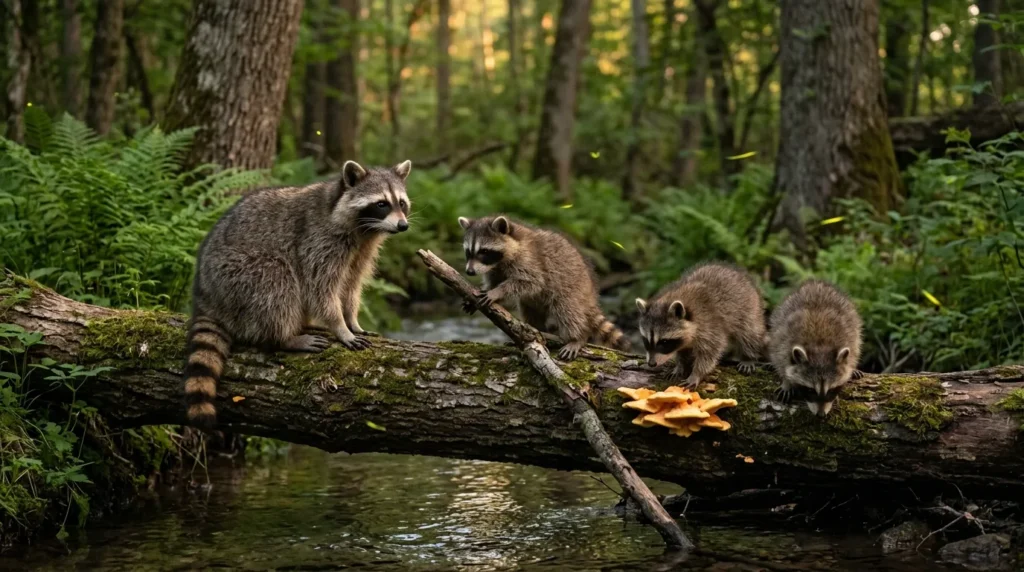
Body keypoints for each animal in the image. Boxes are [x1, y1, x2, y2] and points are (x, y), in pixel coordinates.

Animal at [184, 160, 412, 429]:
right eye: (381, 204)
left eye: (401, 203)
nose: (403, 225)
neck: (364, 228)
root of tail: (205, 294)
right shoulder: (318, 241)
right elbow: (320, 289)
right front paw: (340, 326)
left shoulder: (362, 250)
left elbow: (351, 287)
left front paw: (352, 320)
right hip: (235, 276)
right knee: (276, 280)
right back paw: (284, 337)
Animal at [458, 215, 630, 360]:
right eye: (468, 252)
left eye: (484, 251)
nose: (470, 271)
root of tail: (590, 294)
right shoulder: (495, 269)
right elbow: (494, 282)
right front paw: (485, 292)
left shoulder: (529, 260)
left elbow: (532, 282)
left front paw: (496, 292)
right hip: (536, 303)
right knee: (530, 311)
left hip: (571, 290)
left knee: (568, 310)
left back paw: (578, 337)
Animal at [635, 262, 766, 389]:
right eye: (646, 340)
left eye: (664, 342)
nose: (651, 364)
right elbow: (682, 352)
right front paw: (680, 365)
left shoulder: (710, 325)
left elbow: (709, 353)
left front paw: (696, 374)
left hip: (748, 308)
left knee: (749, 333)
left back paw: (748, 356)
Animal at [769, 280, 863, 417]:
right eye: (810, 390)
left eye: (831, 390)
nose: (821, 415)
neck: (820, 344)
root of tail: (816, 283)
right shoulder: (783, 341)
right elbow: (780, 359)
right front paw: (786, 382)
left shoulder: (849, 339)